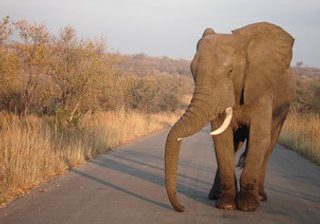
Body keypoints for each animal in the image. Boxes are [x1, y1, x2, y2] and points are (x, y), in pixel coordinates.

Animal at [164, 21, 296, 213]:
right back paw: (215, 195)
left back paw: (261, 197)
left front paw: (248, 205)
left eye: (230, 71)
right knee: (234, 144)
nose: (181, 207)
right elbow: (221, 138)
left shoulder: (261, 88)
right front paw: (226, 205)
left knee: (269, 144)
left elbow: (259, 137)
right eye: (192, 71)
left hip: (283, 109)